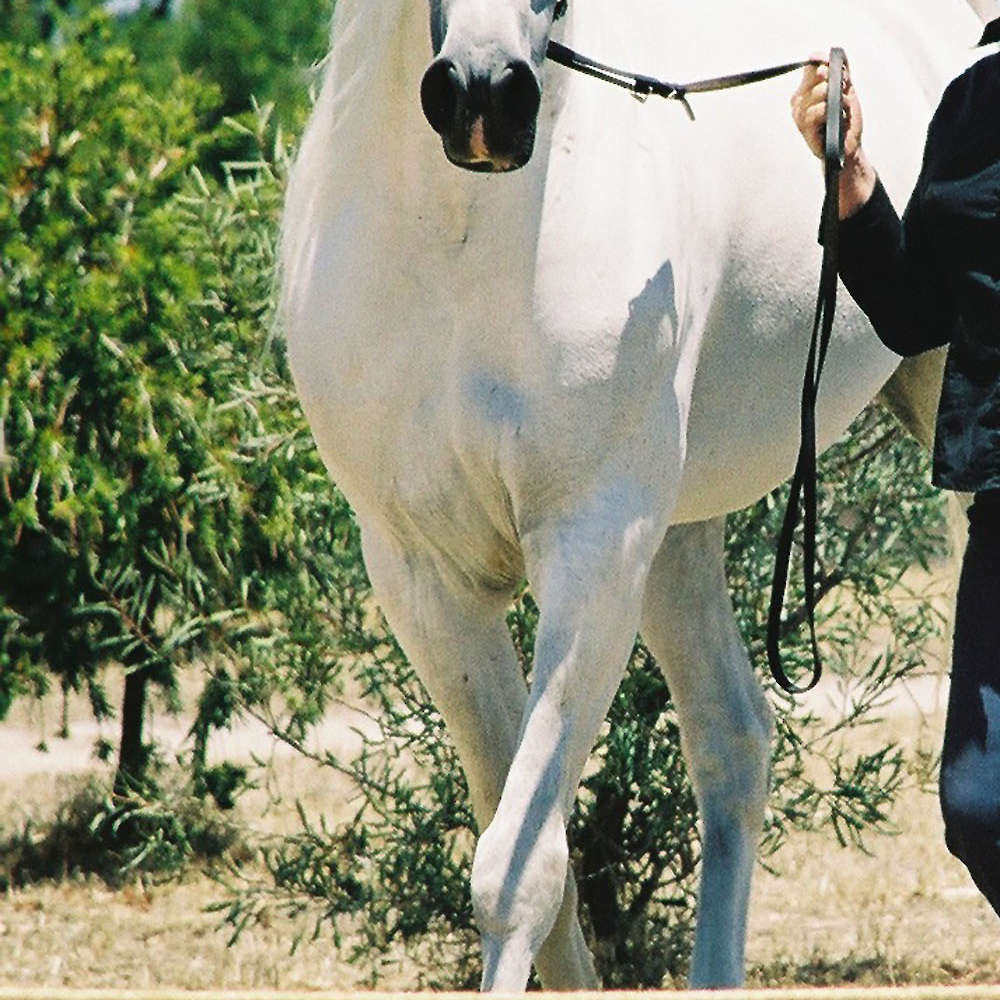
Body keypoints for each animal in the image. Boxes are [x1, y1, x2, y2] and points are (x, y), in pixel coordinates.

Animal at [280, 0, 984, 990]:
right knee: (734, 740)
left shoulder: (594, 548)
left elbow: (518, 875)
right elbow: (541, 865)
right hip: (676, 534)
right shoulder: (426, 579)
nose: (484, 98)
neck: (460, 236)